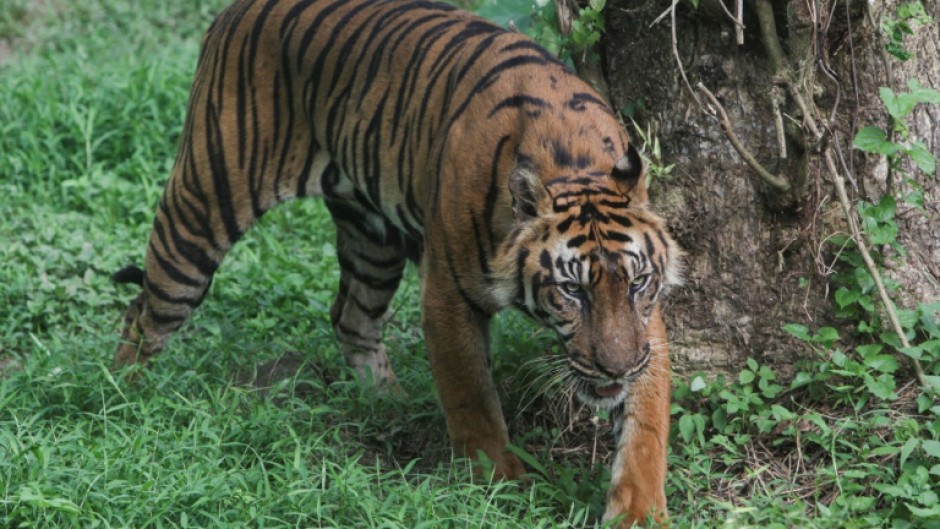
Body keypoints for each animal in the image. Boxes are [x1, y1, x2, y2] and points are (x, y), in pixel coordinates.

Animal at [112, 0, 682, 525]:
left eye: (637, 284)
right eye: (572, 291)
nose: (617, 368)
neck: (573, 158)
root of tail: (232, 11)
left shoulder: (646, 324)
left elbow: (647, 425)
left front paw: (641, 512)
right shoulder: (449, 295)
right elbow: (472, 399)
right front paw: (502, 483)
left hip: (371, 241)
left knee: (351, 317)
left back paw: (389, 401)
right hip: (202, 207)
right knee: (142, 312)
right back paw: (124, 400)